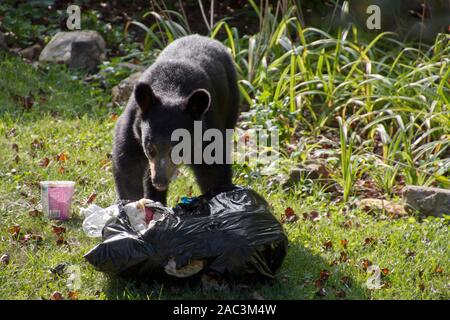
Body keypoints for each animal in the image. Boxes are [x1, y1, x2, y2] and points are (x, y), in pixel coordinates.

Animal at [112, 35, 239, 205]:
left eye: (179, 150)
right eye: (150, 149)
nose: (159, 181)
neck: (169, 89)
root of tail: (204, 37)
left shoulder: (207, 132)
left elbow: (213, 170)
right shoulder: (133, 128)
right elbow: (128, 167)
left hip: (231, 104)